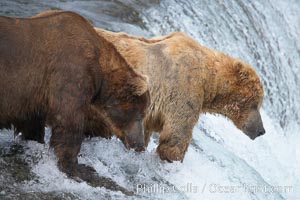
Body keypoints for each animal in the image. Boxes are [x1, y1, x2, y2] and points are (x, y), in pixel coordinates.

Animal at [0, 10, 150, 193]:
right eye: (141, 115)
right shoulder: (71, 74)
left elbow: (32, 124)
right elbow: (69, 123)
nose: (140, 145)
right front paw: (82, 168)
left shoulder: (33, 98)